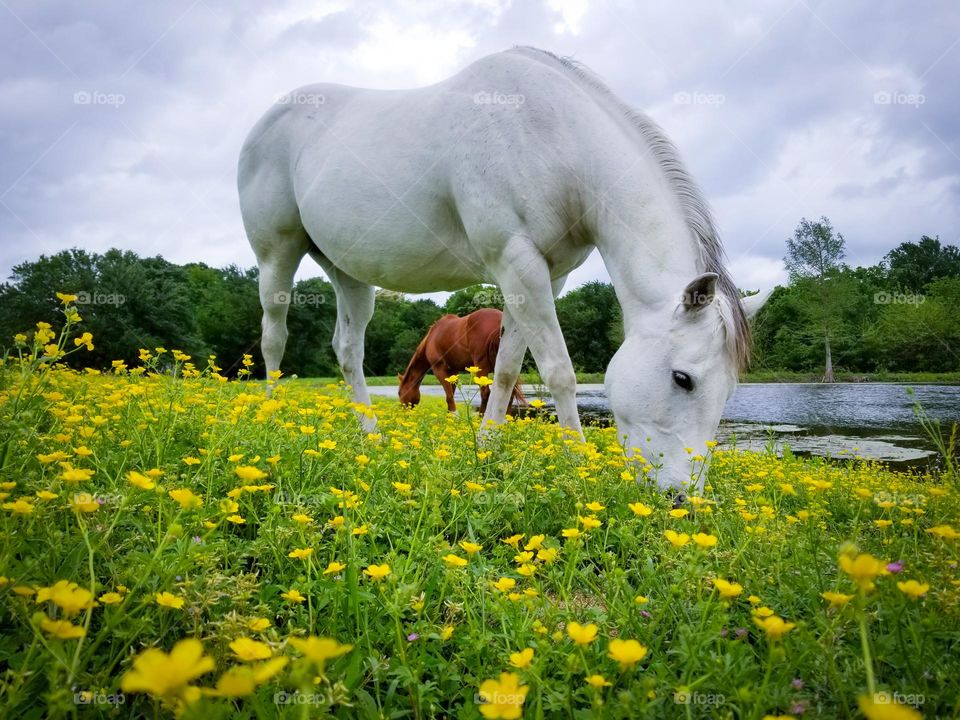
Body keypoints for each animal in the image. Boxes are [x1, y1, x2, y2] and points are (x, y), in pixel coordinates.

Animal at [240, 45, 772, 496]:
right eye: (683, 379)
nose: (680, 499)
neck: (550, 136)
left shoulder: (540, 276)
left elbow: (507, 369)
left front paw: (486, 450)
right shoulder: (517, 263)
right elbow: (559, 371)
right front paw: (578, 466)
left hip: (348, 271)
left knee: (348, 350)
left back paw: (370, 437)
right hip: (277, 256)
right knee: (273, 339)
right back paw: (270, 420)